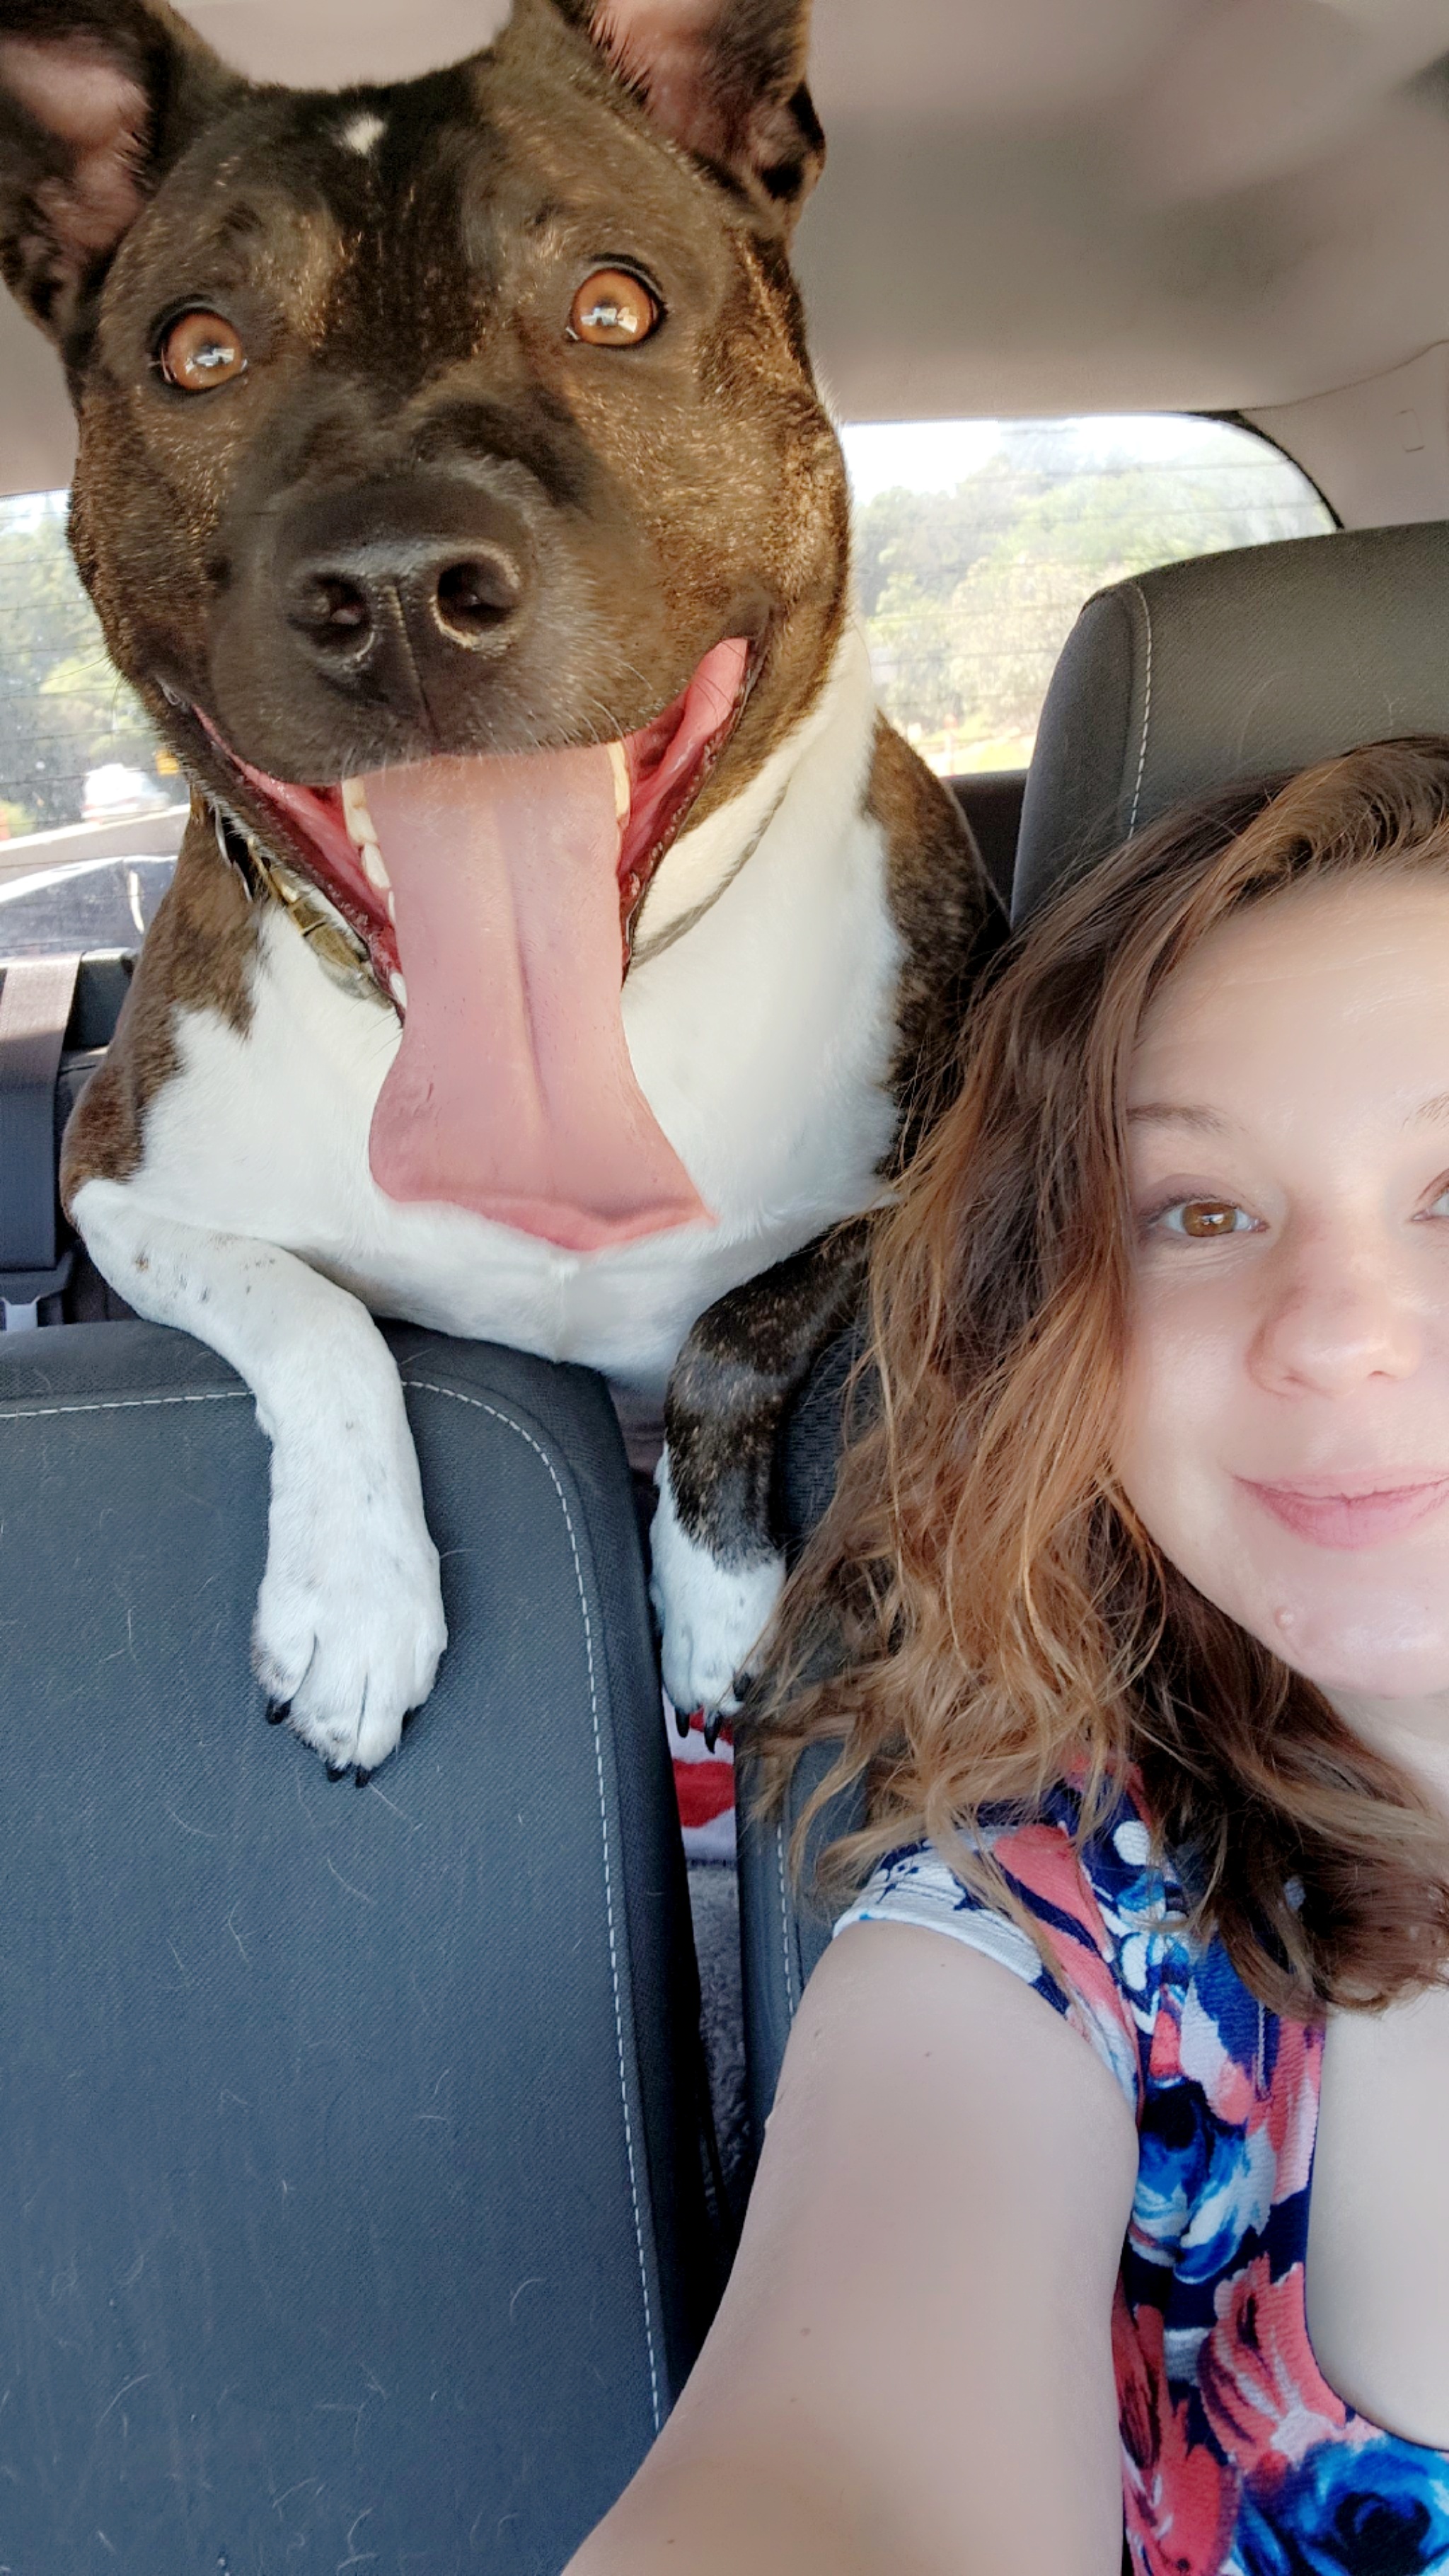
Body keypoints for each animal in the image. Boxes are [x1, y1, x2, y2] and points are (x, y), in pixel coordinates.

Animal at [0, 0, 979, 1772]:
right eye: (199, 350)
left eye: (614, 303)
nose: (396, 591)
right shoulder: (118, 1183)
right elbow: (308, 1313)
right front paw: (354, 1599)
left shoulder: (929, 1157)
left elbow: (744, 1321)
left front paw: (717, 1601)